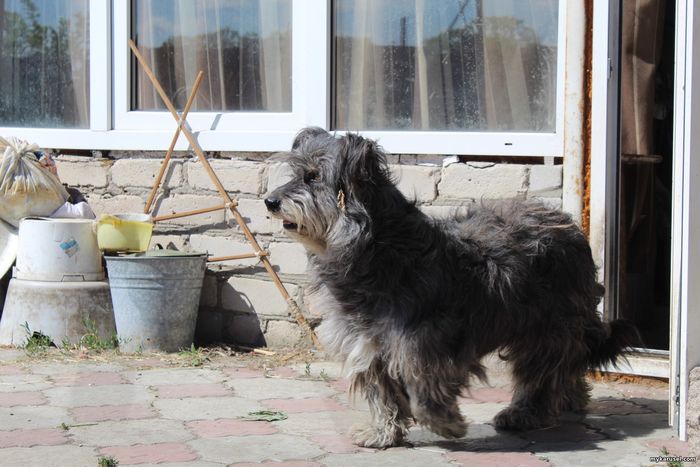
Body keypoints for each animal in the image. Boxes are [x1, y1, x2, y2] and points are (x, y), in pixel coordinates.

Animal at [264, 128, 640, 450]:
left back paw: (525, 413)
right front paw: (381, 433)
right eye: (295, 173)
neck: (379, 249)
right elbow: (382, 393)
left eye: (313, 177)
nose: (269, 201)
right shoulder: (368, 345)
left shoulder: (426, 344)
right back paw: (572, 400)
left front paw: (447, 424)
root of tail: (570, 227)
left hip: (546, 325)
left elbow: (422, 392)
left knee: (544, 372)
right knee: (566, 365)